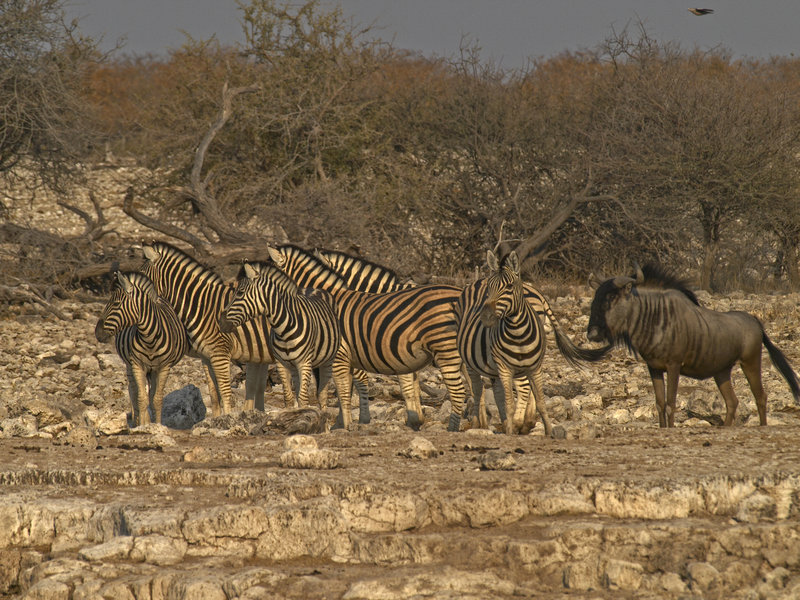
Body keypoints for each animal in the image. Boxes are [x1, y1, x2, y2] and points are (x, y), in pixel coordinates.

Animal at [95, 271, 188, 427]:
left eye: (116, 303)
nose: (97, 333)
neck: (149, 338)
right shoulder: (137, 365)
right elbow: (141, 398)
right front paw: (143, 426)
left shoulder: (164, 367)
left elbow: (156, 399)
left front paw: (156, 426)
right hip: (130, 365)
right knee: (133, 391)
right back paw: (138, 420)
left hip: (153, 370)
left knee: (151, 394)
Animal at [140, 242, 292, 416]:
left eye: (141, 274)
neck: (203, 307)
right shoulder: (207, 357)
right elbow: (214, 394)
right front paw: (219, 418)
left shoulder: (220, 354)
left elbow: (226, 392)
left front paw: (229, 417)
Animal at [219, 262, 343, 409]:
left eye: (240, 293)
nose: (221, 322)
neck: (284, 329)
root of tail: (317, 289)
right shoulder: (281, 364)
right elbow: (288, 399)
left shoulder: (305, 363)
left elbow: (303, 399)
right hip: (294, 366)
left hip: (328, 360)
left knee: (322, 395)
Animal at [267, 244, 468, 431]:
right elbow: (348, 388)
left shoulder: (346, 353)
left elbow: (350, 387)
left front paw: (352, 422)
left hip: (446, 350)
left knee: (460, 390)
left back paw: (453, 427)